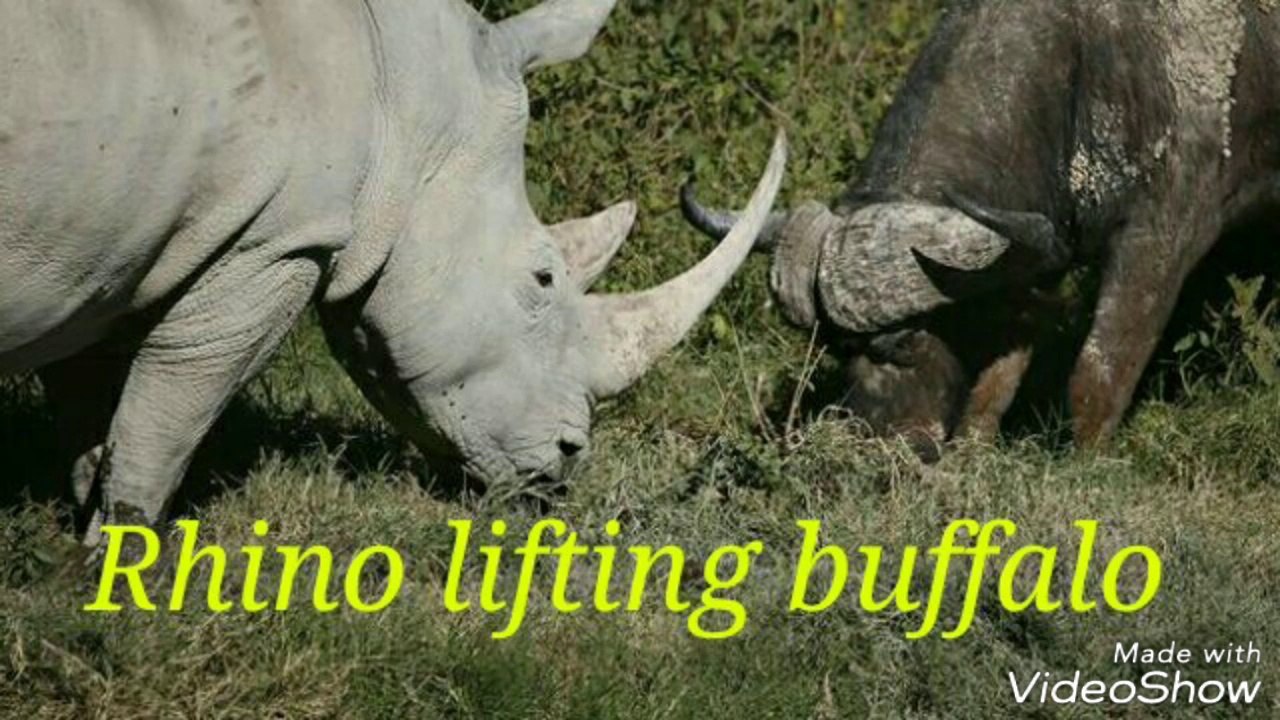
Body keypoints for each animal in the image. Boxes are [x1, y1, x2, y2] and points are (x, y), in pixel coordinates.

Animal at [0, 0, 786, 539]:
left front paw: (85, 540)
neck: (404, 97)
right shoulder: (276, 241)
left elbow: (99, 408)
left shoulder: (114, 248)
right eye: (541, 280)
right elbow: (167, 419)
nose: (569, 458)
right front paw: (126, 570)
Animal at [684, 0, 1280, 449]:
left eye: (902, 341)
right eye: (836, 348)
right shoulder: (1025, 249)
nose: (874, 441)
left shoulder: (1158, 239)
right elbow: (998, 372)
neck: (1088, 67)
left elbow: (1097, 376)